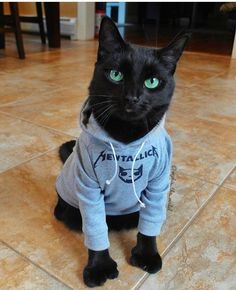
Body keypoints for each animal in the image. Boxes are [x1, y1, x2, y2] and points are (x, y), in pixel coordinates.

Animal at [54, 17, 191, 288]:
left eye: (152, 82)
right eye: (116, 75)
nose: (132, 98)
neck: (126, 138)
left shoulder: (158, 184)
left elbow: (150, 225)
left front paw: (147, 255)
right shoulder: (88, 188)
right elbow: (96, 230)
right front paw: (99, 267)